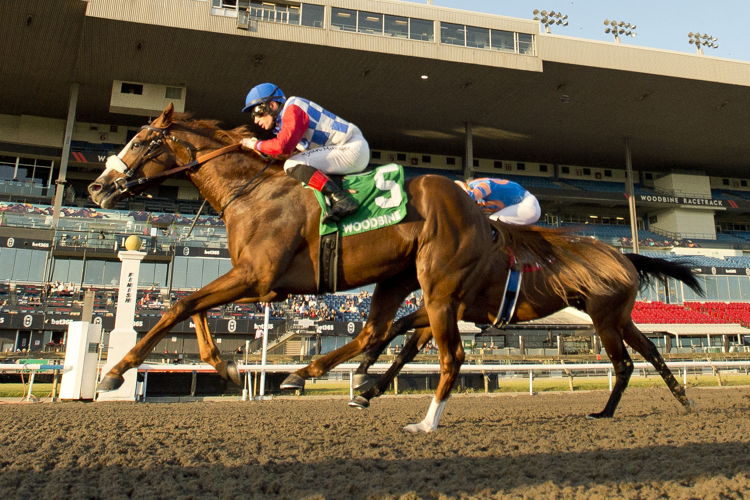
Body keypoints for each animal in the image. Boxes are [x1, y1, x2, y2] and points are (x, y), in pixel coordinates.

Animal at [88, 103, 496, 432]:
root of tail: (478, 212)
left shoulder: (255, 277)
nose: (96, 188)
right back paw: (312, 376)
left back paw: (421, 419)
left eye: (139, 142)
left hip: (439, 288)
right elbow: (193, 306)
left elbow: (179, 306)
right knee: (374, 333)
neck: (252, 193)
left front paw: (115, 373)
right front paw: (226, 367)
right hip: (397, 280)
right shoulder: (259, 283)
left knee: (449, 355)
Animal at [302, 225, 704, 424]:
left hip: (604, 318)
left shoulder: (447, 307)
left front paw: (363, 371)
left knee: (624, 364)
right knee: (650, 350)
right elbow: (406, 349)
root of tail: (624, 256)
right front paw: (367, 388)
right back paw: (683, 399)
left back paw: (604, 412)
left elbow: (397, 327)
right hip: (620, 318)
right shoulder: (440, 311)